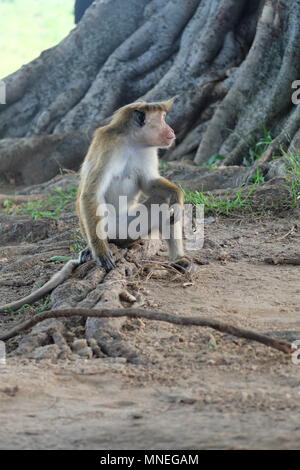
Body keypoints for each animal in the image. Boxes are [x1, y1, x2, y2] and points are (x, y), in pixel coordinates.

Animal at [0, 99, 188, 314]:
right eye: (163, 118)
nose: (171, 129)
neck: (132, 142)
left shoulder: (148, 151)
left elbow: (150, 183)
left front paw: (178, 197)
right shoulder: (108, 146)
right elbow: (91, 194)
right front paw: (98, 250)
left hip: (130, 230)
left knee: (164, 206)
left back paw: (179, 259)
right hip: (113, 228)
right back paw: (95, 247)